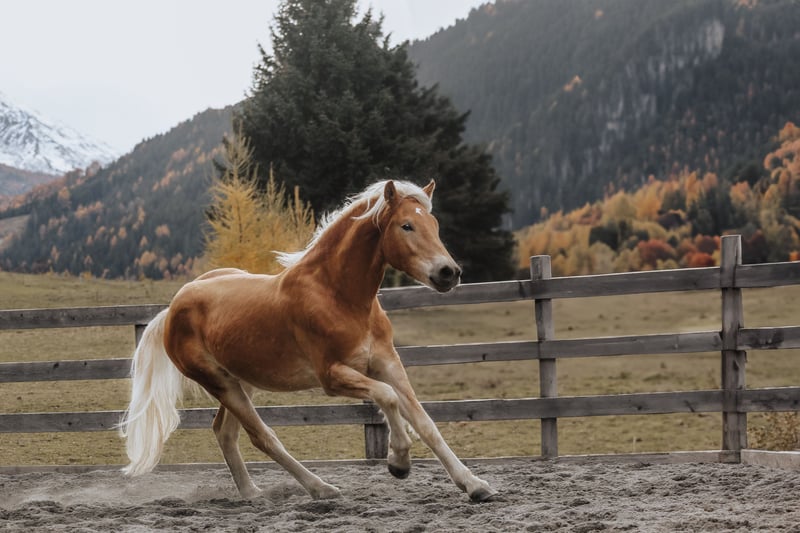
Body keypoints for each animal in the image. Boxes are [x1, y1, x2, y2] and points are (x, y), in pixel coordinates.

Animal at [119, 179, 496, 502]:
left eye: (434, 224)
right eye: (406, 226)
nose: (449, 273)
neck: (339, 297)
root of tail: (173, 307)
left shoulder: (387, 363)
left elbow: (424, 421)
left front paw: (475, 485)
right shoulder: (333, 376)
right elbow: (387, 398)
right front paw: (398, 462)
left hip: (241, 379)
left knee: (225, 433)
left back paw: (252, 493)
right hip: (220, 382)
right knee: (262, 437)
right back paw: (321, 488)